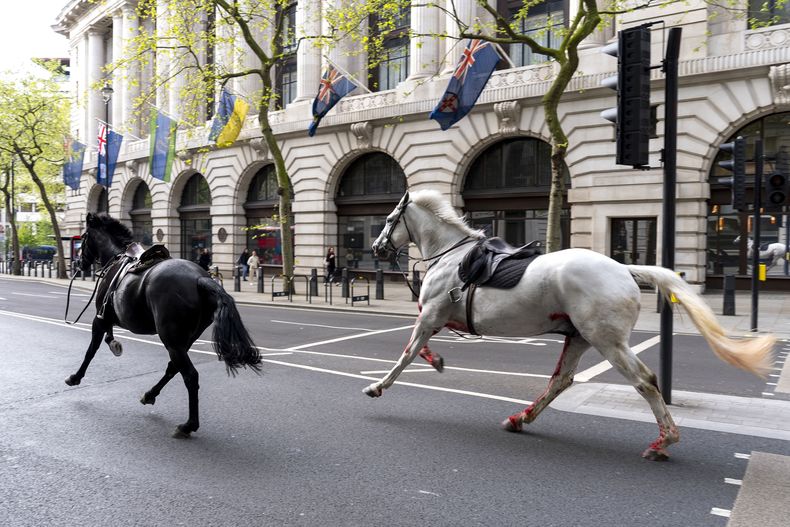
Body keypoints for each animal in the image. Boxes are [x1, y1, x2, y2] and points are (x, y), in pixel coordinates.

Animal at [68, 212, 261, 438]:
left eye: (84, 238)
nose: (78, 262)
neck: (117, 258)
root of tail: (200, 278)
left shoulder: (100, 318)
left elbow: (91, 350)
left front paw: (75, 377)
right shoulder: (107, 318)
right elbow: (107, 338)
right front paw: (114, 344)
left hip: (171, 339)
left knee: (190, 376)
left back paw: (188, 425)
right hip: (184, 339)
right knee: (173, 368)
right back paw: (150, 395)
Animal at [370, 190, 775, 460]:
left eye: (389, 220)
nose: (376, 248)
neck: (451, 256)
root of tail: (625, 270)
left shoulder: (430, 315)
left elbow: (406, 353)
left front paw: (378, 386)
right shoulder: (436, 318)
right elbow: (419, 348)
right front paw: (436, 361)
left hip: (607, 340)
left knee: (644, 381)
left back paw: (664, 441)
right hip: (580, 337)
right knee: (561, 381)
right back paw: (521, 418)